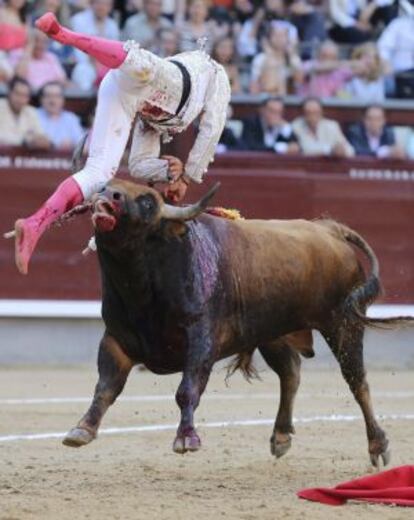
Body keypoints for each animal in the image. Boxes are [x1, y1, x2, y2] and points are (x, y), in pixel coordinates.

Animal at [62, 180, 410, 468]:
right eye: (107, 185)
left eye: (147, 201)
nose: (109, 195)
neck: (141, 288)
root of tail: (328, 228)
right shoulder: (116, 340)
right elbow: (106, 387)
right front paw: (82, 429)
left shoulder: (201, 340)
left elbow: (187, 390)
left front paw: (186, 438)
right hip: (273, 332)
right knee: (291, 372)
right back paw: (281, 436)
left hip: (343, 324)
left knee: (358, 383)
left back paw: (378, 446)